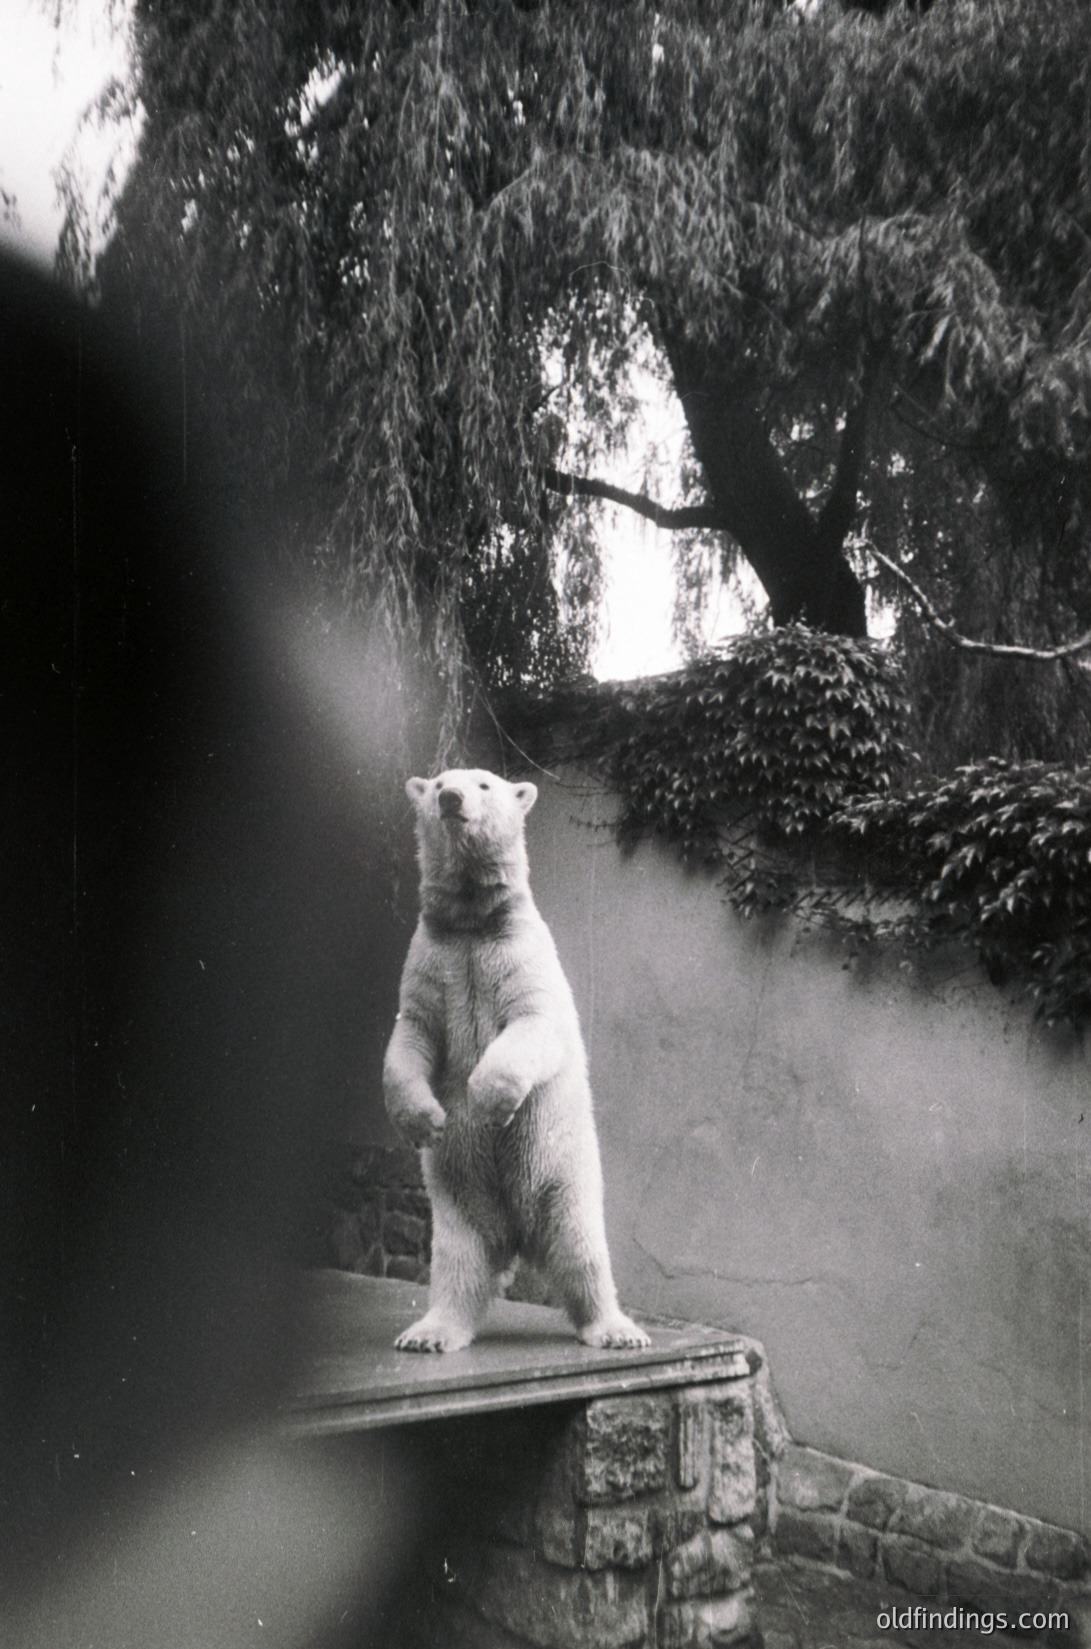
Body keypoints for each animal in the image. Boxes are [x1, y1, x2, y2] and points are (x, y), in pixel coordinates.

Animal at [382, 767, 649, 1354]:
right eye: (439, 781)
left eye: (483, 784)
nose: (451, 798)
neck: (472, 923)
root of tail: (518, 1239)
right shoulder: (432, 958)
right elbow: (411, 1034)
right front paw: (427, 1120)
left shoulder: (519, 955)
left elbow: (532, 1023)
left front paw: (487, 1104)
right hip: (459, 1198)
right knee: (458, 1259)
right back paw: (431, 1332)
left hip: (562, 1175)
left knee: (582, 1248)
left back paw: (616, 1329)